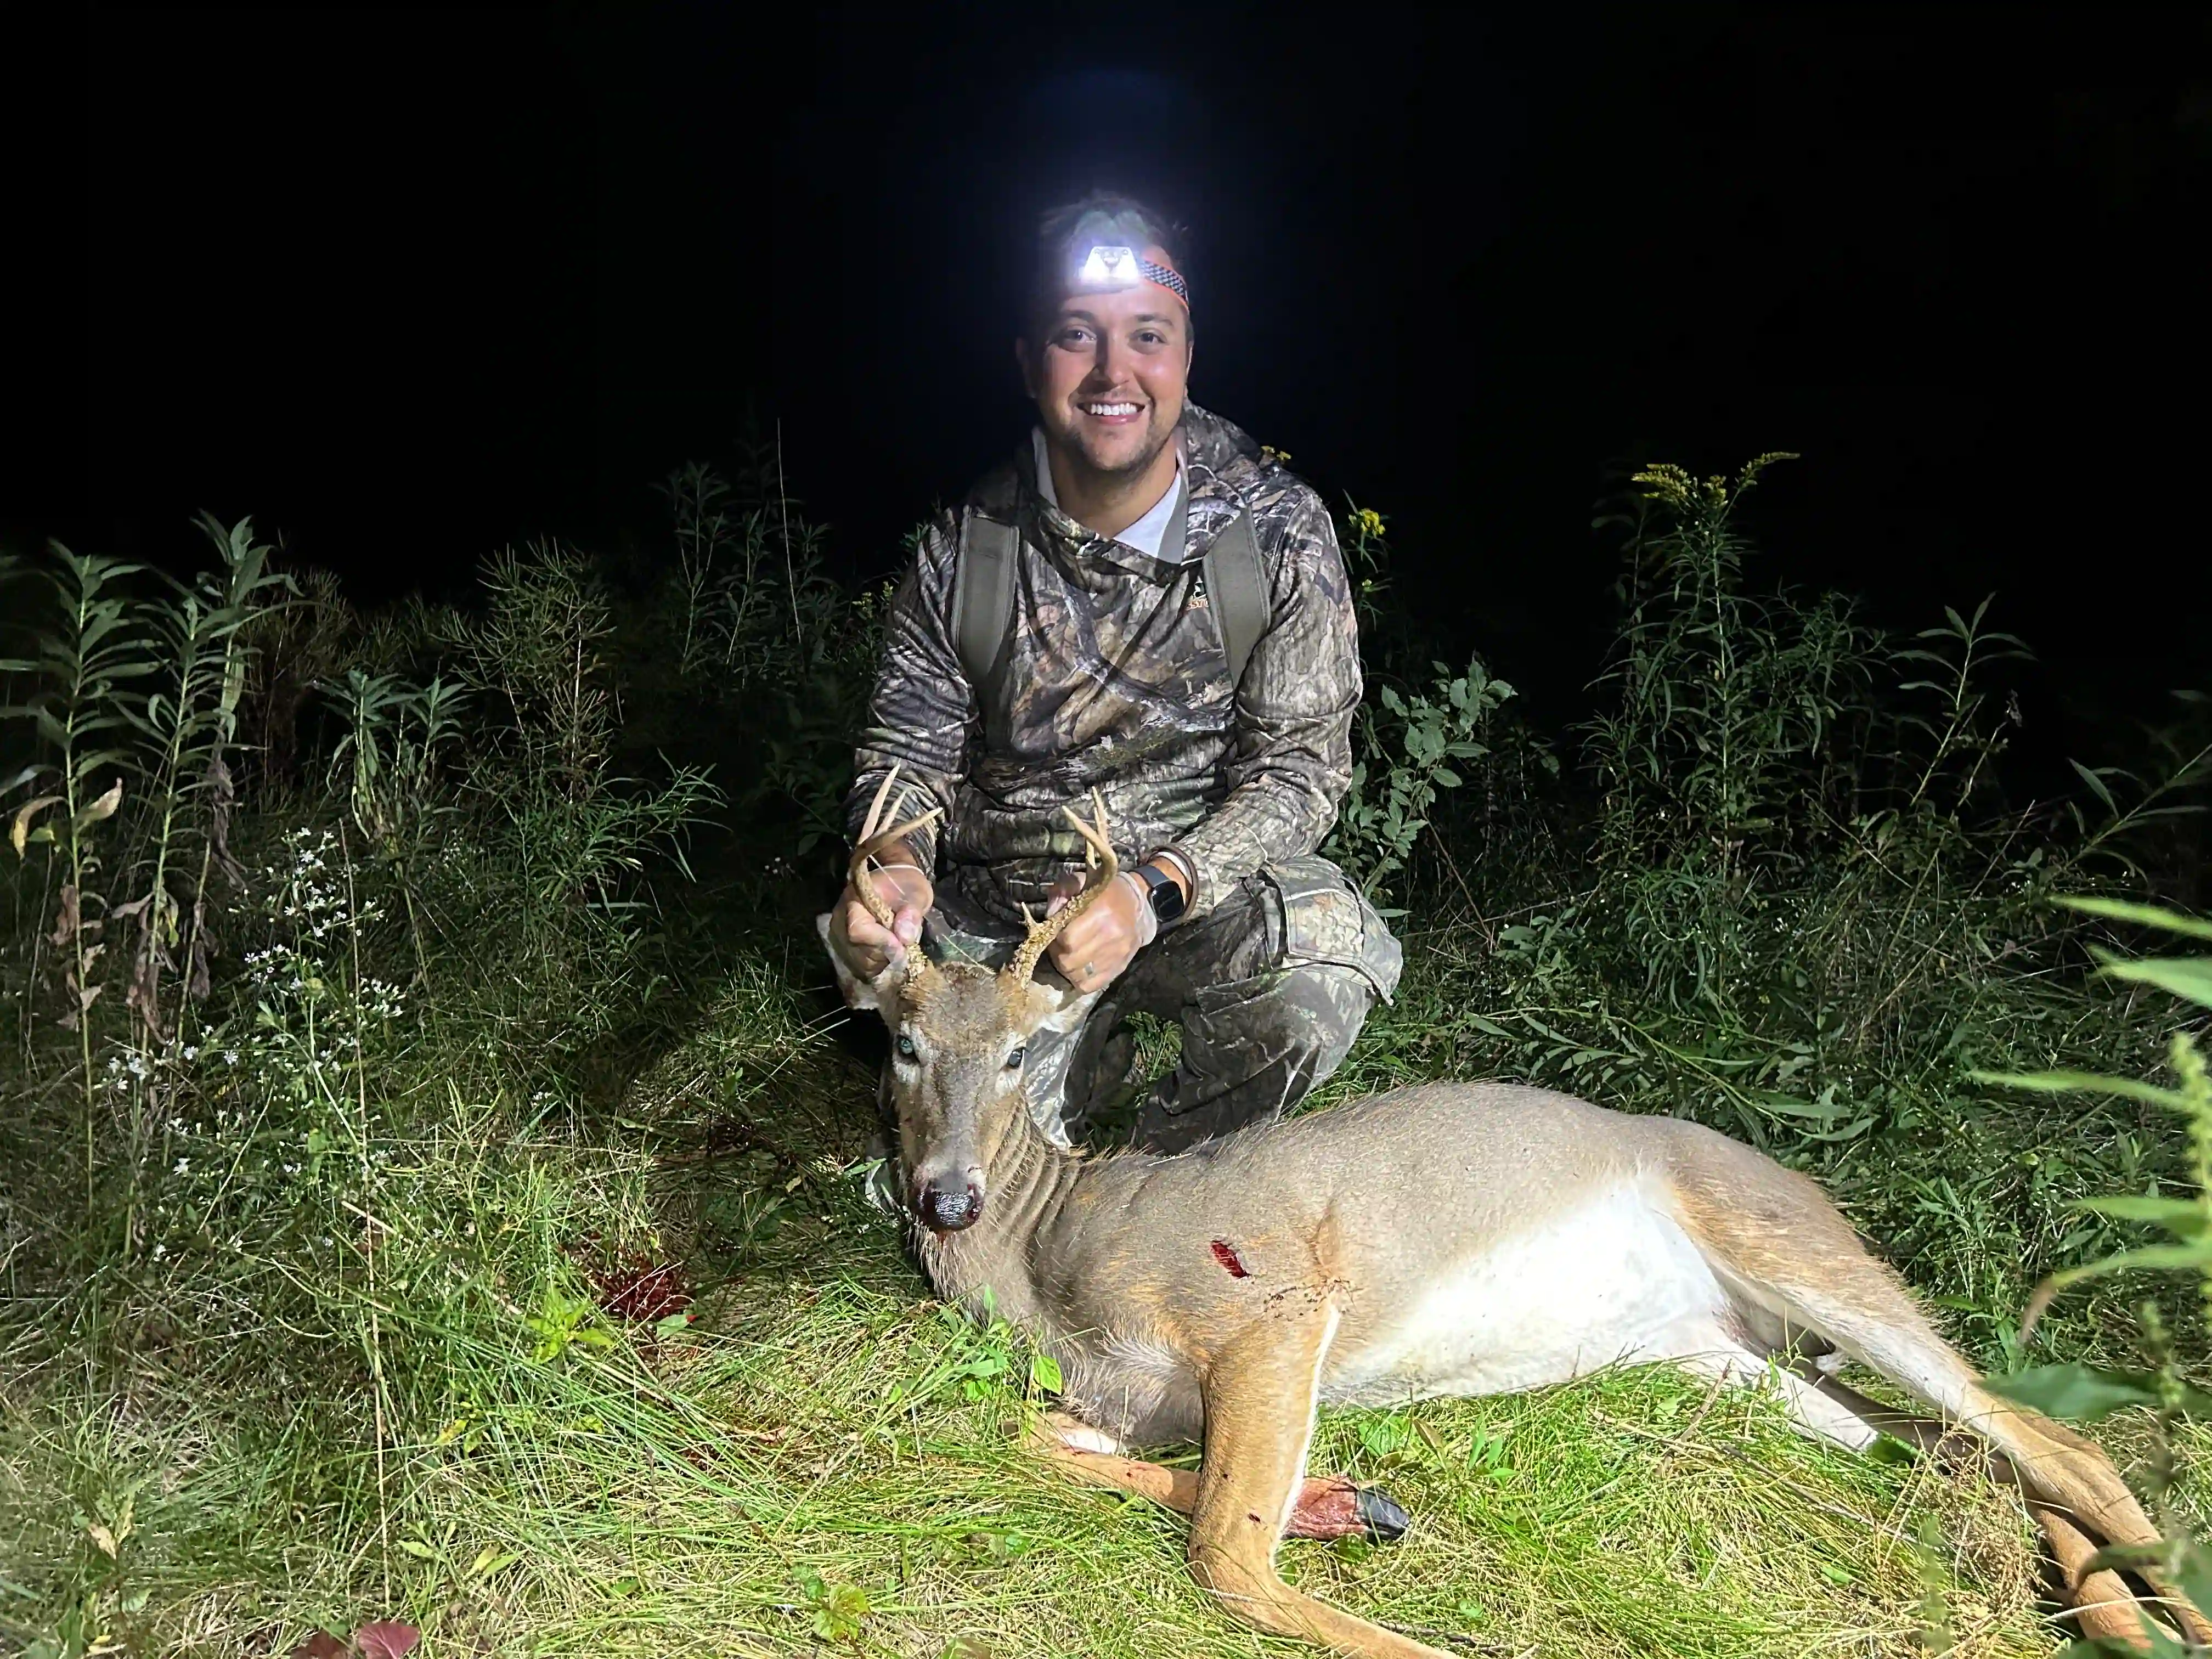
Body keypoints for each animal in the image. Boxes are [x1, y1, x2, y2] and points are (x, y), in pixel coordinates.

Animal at [820, 769, 2209, 1657]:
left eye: (1021, 1053)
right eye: (899, 1043)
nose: (947, 1196)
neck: (1052, 1262)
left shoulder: (1274, 1298)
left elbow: (1228, 1555)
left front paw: (1426, 1638)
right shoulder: (1124, 1401)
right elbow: (1062, 1455)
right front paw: (1351, 1505)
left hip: (1793, 1245)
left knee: (2058, 1438)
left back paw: (2164, 1621)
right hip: (1737, 1361)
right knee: (1970, 1451)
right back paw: (2106, 1612)